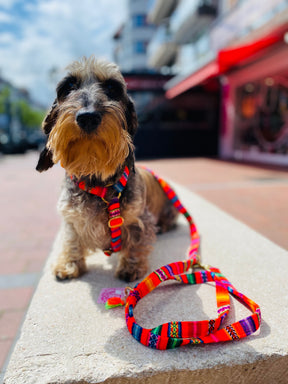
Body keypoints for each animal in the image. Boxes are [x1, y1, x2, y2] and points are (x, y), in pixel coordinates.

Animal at [36, 56, 178, 282]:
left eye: (112, 87)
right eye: (68, 86)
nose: (87, 117)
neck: (95, 179)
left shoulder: (139, 219)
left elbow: (137, 242)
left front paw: (131, 266)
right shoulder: (70, 219)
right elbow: (71, 239)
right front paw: (68, 263)